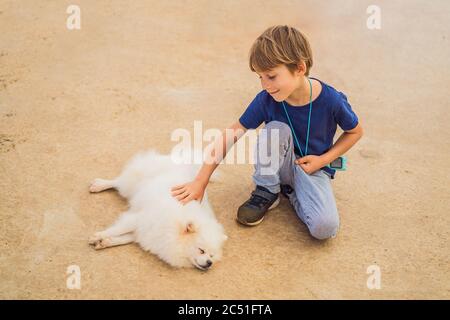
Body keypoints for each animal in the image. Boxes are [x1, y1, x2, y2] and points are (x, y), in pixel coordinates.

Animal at [88, 148, 229, 270]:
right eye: (201, 250)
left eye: (212, 255)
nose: (209, 263)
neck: (173, 227)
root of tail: (184, 162)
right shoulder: (139, 219)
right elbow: (117, 230)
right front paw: (97, 236)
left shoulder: (146, 233)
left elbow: (124, 238)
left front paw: (105, 242)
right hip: (132, 183)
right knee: (118, 182)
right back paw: (99, 184)